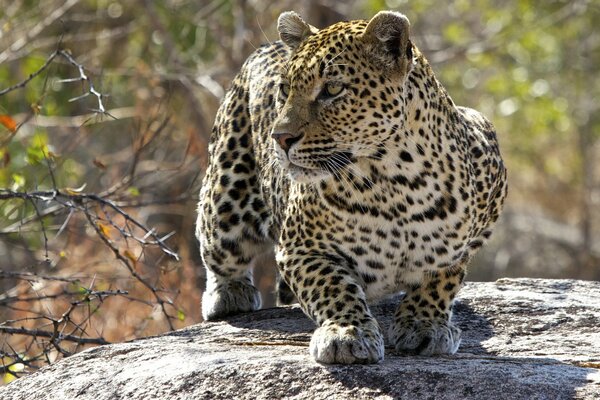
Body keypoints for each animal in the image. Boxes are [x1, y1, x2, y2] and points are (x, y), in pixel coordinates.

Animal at [196, 10, 506, 366]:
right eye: (285, 89)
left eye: (333, 88)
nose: (280, 137)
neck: (396, 183)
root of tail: (266, 45)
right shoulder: (301, 249)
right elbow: (333, 287)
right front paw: (347, 334)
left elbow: (442, 278)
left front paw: (424, 324)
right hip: (225, 198)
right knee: (218, 246)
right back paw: (229, 294)